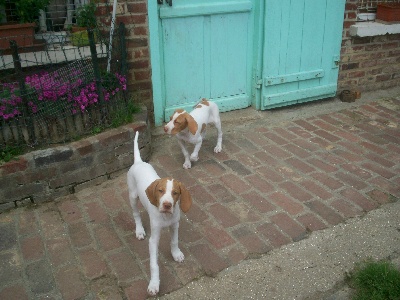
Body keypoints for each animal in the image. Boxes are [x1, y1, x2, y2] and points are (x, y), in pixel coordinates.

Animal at [127, 131, 191, 296]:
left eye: (175, 193)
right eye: (160, 191)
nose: (167, 205)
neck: (166, 217)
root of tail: (139, 162)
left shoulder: (175, 225)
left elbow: (174, 241)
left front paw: (176, 254)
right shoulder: (154, 238)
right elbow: (154, 265)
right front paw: (154, 284)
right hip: (132, 196)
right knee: (136, 214)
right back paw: (139, 230)